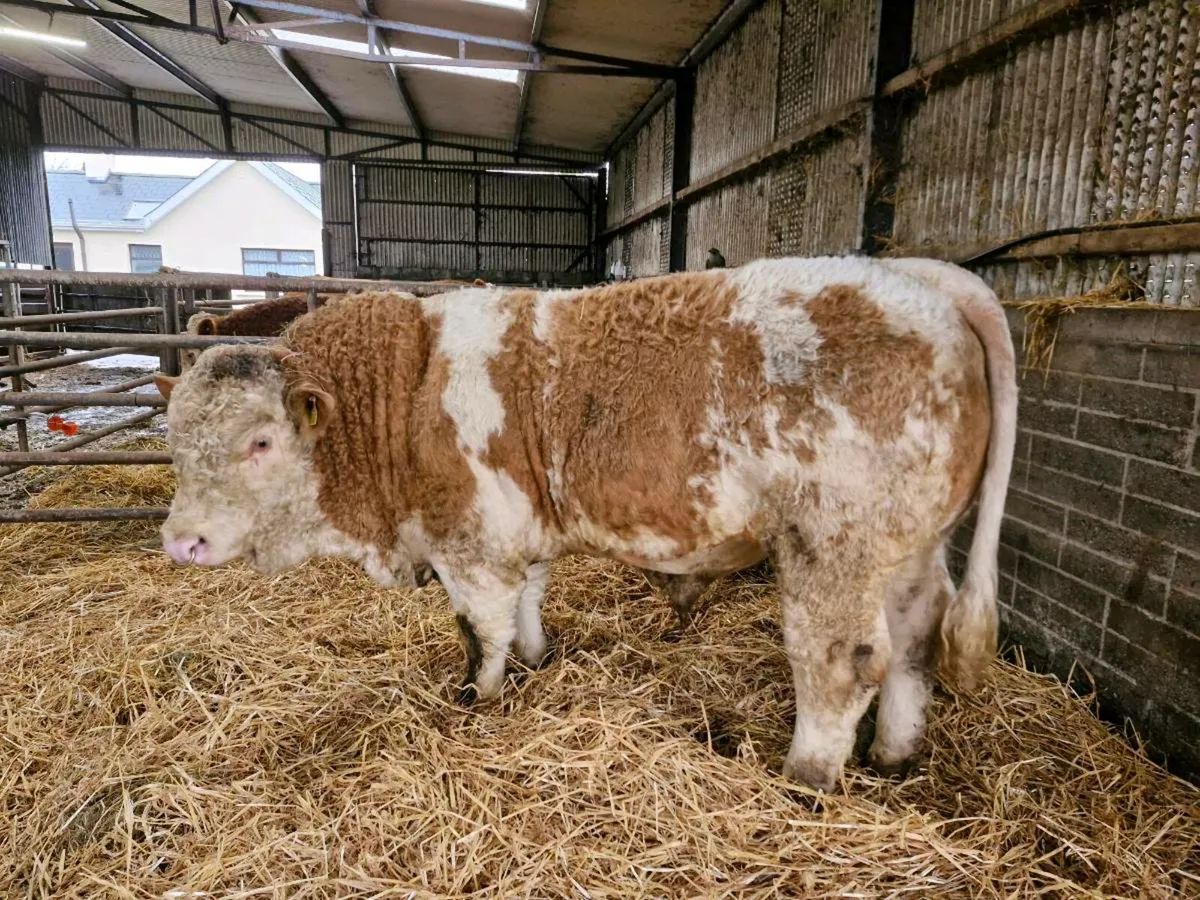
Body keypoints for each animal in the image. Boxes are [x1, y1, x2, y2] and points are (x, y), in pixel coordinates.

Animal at [153, 256, 1017, 792]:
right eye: (175, 434)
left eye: (260, 442)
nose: (181, 540)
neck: (405, 391)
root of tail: (920, 279)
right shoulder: (516, 533)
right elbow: (529, 600)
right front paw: (538, 660)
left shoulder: (468, 542)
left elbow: (483, 626)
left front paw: (479, 695)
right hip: (910, 549)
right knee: (914, 639)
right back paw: (895, 754)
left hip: (831, 547)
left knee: (842, 662)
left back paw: (805, 776)